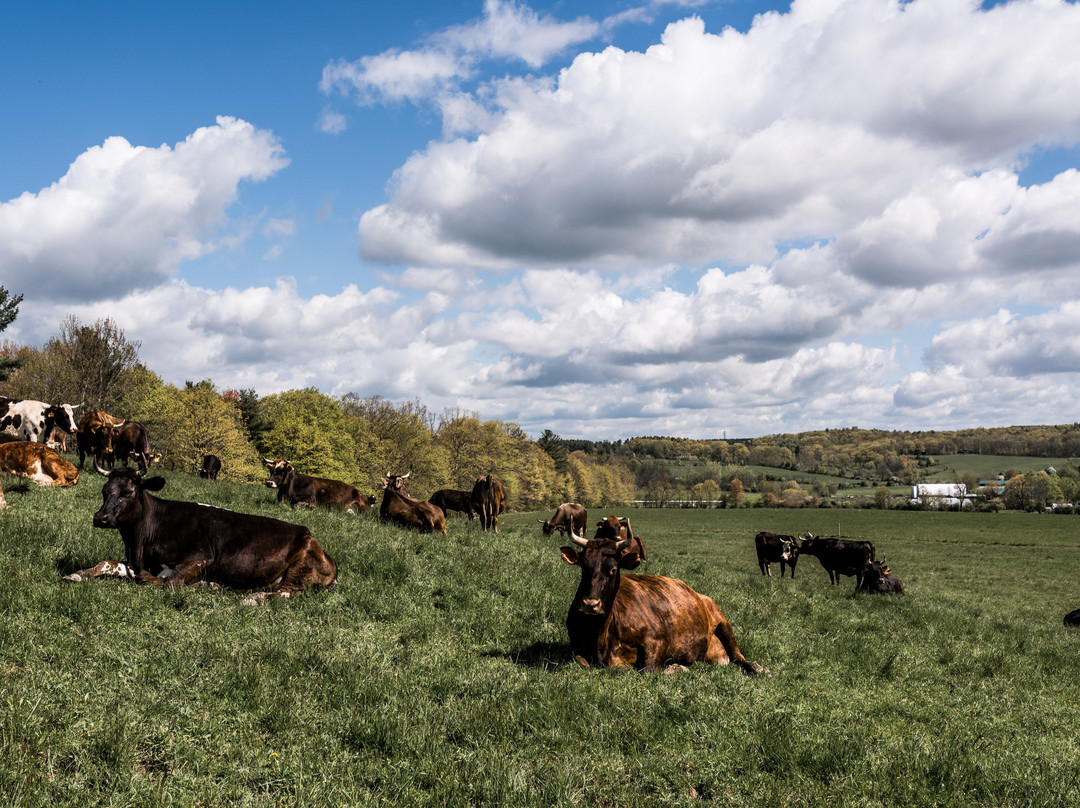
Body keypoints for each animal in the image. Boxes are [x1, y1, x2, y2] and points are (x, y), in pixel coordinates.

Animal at [65, 464, 334, 604]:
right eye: (104, 490)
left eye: (128, 492)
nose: (100, 517)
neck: (141, 541)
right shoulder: (134, 561)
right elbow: (105, 564)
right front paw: (77, 574)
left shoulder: (202, 557)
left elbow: (168, 583)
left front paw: (207, 585)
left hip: (299, 567)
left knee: (286, 593)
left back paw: (252, 598)